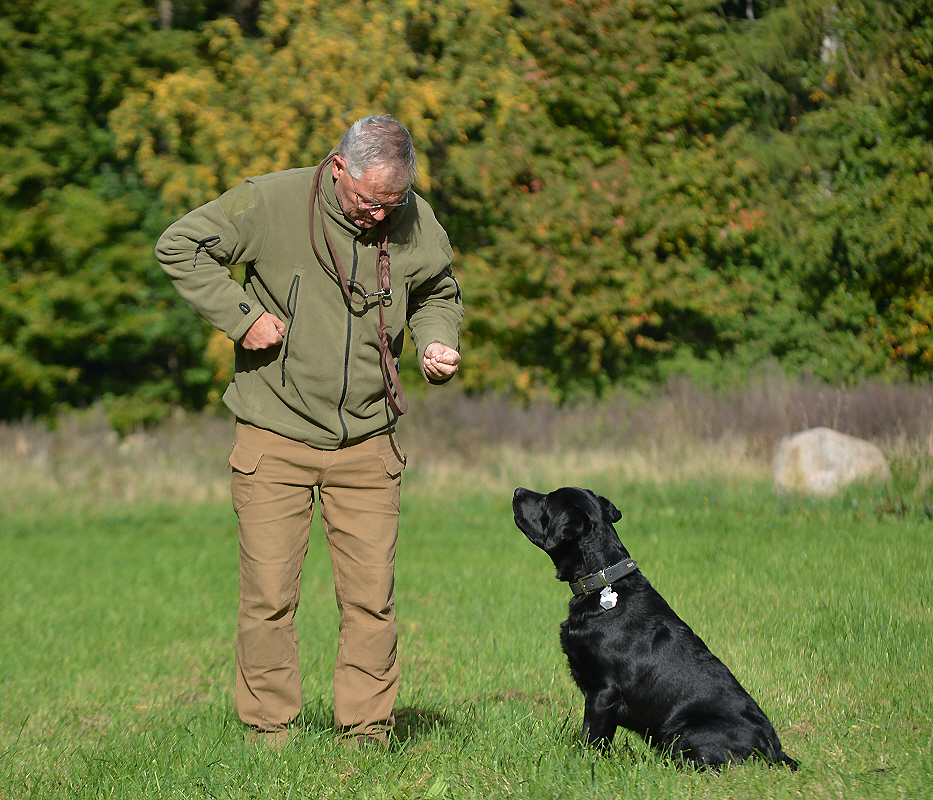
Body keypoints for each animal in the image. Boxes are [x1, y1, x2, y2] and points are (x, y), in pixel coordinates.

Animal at [512, 484, 796, 772]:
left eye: (547, 501)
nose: (517, 491)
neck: (603, 583)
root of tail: (775, 752)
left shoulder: (603, 692)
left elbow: (591, 739)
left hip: (683, 730)